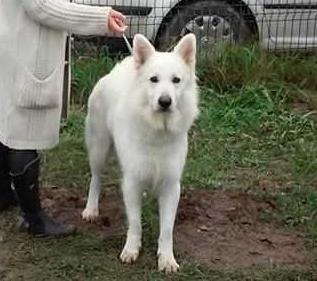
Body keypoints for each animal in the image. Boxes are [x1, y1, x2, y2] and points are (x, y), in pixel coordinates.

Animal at [82, 32, 199, 272]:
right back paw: (91, 209)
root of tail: (114, 72)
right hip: (98, 150)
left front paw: (167, 258)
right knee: (95, 179)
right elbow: (135, 223)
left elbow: (167, 230)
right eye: (154, 79)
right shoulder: (132, 183)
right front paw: (131, 249)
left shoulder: (171, 187)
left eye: (176, 80)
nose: (165, 102)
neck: (157, 132)